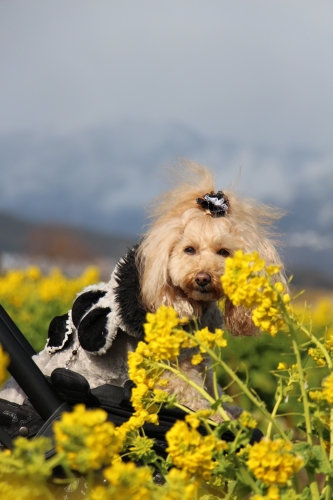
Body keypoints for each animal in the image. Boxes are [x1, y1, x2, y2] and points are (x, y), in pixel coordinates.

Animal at [0, 161, 286, 418]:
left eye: (224, 252)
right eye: (189, 249)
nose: (203, 278)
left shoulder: (197, 361)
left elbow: (209, 388)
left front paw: (231, 413)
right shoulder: (170, 368)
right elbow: (194, 396)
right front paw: (216, 420)